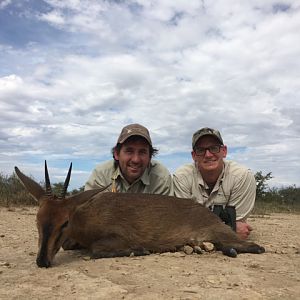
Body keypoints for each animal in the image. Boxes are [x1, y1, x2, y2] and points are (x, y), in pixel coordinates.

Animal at [14, 162, 264, 268]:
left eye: (64, 222)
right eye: (37, 220)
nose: (42, 261)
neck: (88, 216)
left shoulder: (117, 237)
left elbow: (96, 249)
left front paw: (140, 250)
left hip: (224, 235)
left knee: (255, 247)